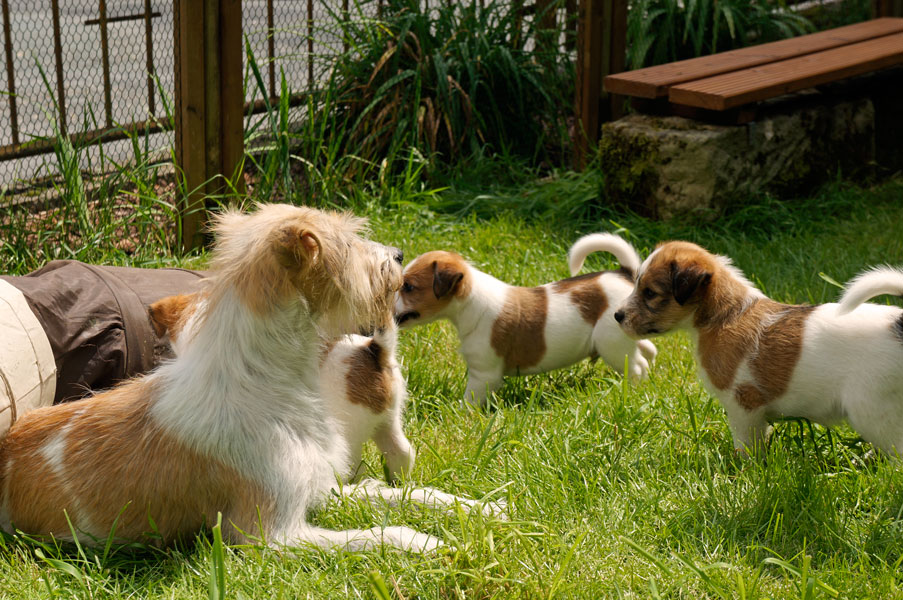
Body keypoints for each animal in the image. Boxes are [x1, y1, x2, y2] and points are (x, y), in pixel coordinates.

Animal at [393, 233, 657, 406]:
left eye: (408, 286)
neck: (471, 301)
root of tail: (625, 274)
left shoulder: (483, 375)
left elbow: (469, 401)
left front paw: (460, 415)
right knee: (646, 349)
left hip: (612, 345)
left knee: (637, 366)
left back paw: (632, 392)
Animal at [613, 240, 903, 455]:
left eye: (650, 293)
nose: (617, 316)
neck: (725, 314)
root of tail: (898, 323)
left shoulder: (743, 405)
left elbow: (745, 445)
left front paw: (744, 470)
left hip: (871, 409)